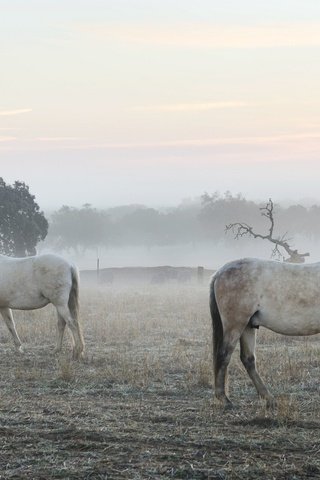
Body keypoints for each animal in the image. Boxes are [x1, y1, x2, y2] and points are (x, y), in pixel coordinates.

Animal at [211, 256, 320, 406]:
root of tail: (219, 272)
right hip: (235, 325)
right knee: (223, 355)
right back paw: (225, 400)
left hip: (248, 326)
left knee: (248, 359)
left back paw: (268, 398)